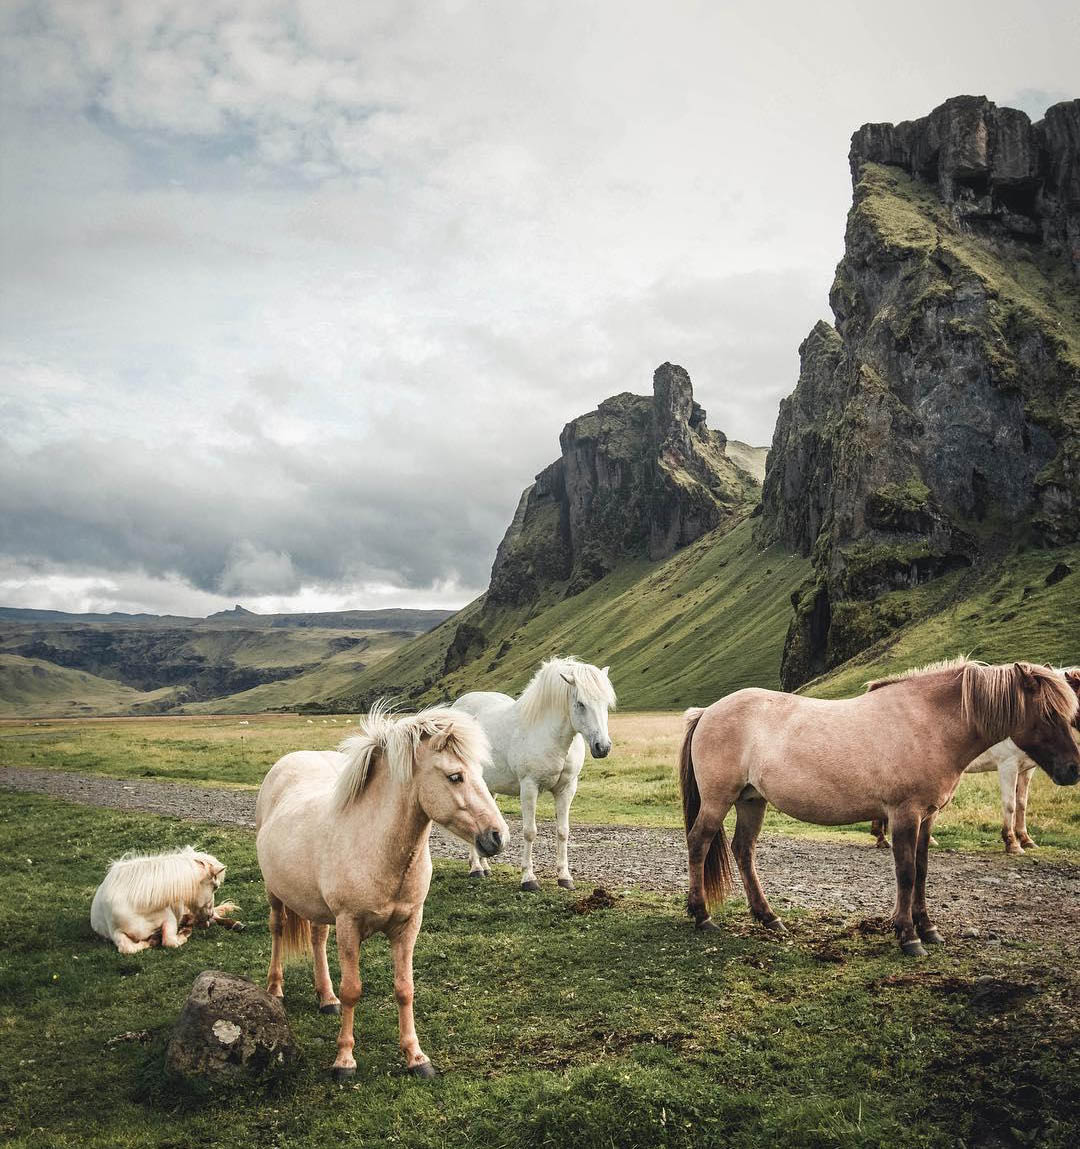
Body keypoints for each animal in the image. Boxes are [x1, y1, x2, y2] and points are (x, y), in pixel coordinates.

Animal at [90, 845, 240, 951]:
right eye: (215, 887)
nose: (208, 915)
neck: (136, 901)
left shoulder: (169, 919)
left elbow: (169, 941)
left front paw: (182, 933)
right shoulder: (116, 933)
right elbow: (127, 949)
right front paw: (155, 939)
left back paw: (236, 924)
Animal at [255, 698, 507, 1075]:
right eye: (455, 776)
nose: (497, 836)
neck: (376, 843)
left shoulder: (408, 925)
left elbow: (405, 989)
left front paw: (416, 1057)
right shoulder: (348, 924)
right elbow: (353, 990)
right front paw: (344, 1060)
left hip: (315, 905)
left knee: (317, 938)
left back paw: (325, 997)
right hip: (275, 894)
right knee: (277, 929)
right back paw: (275, 989)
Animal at [450, 657, 615, 887]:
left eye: (606, 704)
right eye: (580, 704)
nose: (603, 747)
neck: (549, 735)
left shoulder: (567, 789)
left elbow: (563, 831)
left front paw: (565, 877)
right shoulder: (529, 787)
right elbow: (530, 832)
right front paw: (528, 878)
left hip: (488, 786)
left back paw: (485, 866)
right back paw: (476, 868)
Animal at [684, 661, 1080, 955]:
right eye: (1048, 713)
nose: (1073, 770)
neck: (928, 723)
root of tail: (708, 712)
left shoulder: (927, 816)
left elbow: (921, 871)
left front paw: (928, 927)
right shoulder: (905, 815)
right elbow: (905, 873)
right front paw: (908, 936)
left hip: (751, 801)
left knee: (743, 850)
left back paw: (768, 917)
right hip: (719, 799)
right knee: (699, 842)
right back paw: (702, 915)